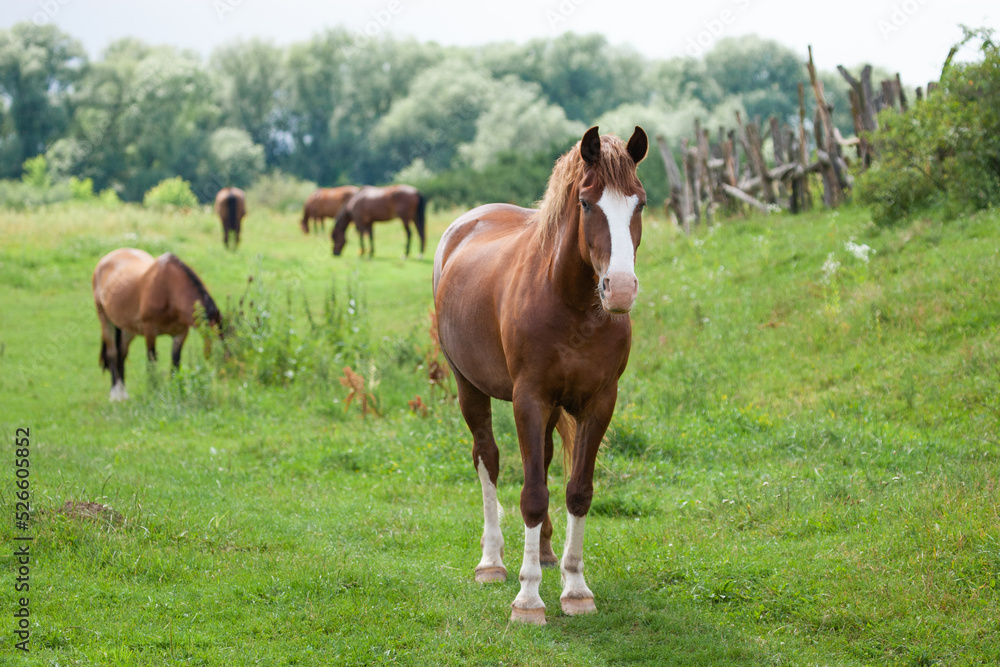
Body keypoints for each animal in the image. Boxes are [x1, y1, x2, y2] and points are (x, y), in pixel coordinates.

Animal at [92, 247, 223, 400]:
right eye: (221, 348)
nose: (226, 372)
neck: (169, 291)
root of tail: (104, 260)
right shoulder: (150, 332)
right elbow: (152, 361)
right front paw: (153, 391)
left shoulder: (181, 333)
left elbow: (175, 362)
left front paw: (175, 391)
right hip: (105, 319)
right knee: (112, 353)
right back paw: (116, 395)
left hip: (127, 328)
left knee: (122, 353)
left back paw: (123, 393)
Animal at [434, 125, 652, 628]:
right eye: (587, 203)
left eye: (640, 202)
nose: (621, 289)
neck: (571, 303)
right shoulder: (528, 399)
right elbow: (532, 493)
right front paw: (528, 598)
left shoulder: (599, 402)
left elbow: (577, 491)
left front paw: (575, 588)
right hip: (469, 387)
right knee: (488, 459)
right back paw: (492, 562)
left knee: (547, 460)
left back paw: (548, 552)